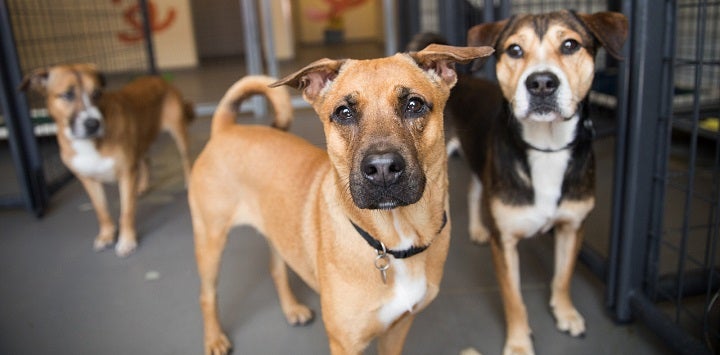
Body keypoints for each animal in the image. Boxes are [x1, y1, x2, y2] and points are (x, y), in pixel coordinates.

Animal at [21, 64, 194, 258]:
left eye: (97, 93)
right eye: (67, 95)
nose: (93, 124)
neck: (90, 143)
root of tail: (158, 79)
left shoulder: (126, 175)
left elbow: (126, 212)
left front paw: (126, 240)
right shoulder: (88, 180)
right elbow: (101, 211)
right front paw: (106, 235)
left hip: (178, 134)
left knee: (185, 159)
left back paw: (187, 180)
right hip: (140, 143)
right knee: (145, 161)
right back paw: (142, 186)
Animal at [190, 43, 496, 355]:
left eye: (414, 104)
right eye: (344, 112)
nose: (382, 169)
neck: (392, 241)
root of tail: (226, 128)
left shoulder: (397, 329)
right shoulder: (344, 343)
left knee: (276, 268)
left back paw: (292, 309)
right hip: (210, 241)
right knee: (206, 295)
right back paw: (214, 339)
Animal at [448, 9, 628, 354]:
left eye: (570, 45)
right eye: (515, 50)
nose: (542, 83)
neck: (547, 147)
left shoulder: (573, 227)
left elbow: (563, 276)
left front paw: (566, 313)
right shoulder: (504, 242)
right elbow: (514, 299)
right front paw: (519, 343)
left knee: (474, 190)